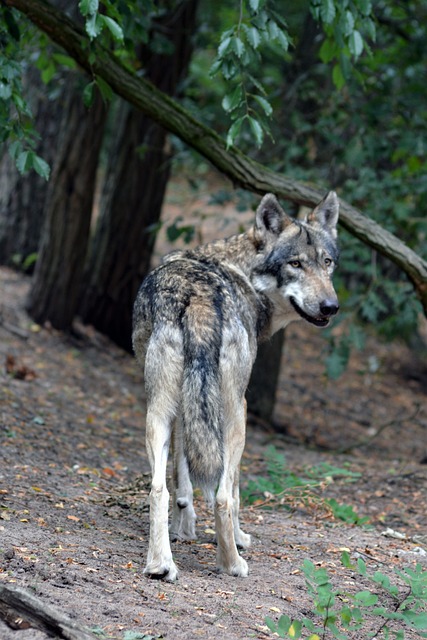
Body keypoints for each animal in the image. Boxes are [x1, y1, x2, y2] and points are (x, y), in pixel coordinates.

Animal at [132, 189, 340, 580]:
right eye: (295, 264)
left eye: (327, 262)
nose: (330, 306)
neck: (242, 270)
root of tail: (197, 297)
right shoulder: (239, 407)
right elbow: (235, 489)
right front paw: (240, 538)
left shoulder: (185, 410)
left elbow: (182, 478)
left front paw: (185, 529)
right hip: (234, 414)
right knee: (224, 495)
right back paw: (232, 563)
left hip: (158, 412)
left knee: (157, 488)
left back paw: (160, 564)